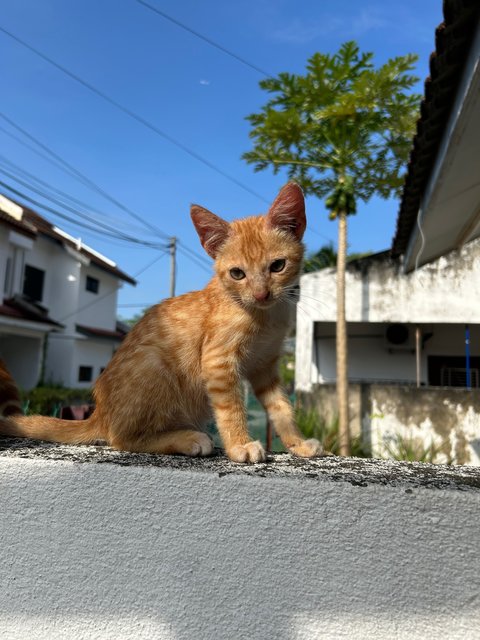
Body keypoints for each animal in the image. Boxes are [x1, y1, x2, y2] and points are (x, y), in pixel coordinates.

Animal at [0, 182, 322, 462]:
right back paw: (187, 438)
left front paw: (297, 443)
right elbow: (230, 406)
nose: (261, 293)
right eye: (237, 274)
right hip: (154, 363)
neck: (265, 315)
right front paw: (240, 445)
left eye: (277, 266)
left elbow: (281, 407)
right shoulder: (217, 360)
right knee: (120, 439)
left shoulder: (265, 365)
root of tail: (100, 414)